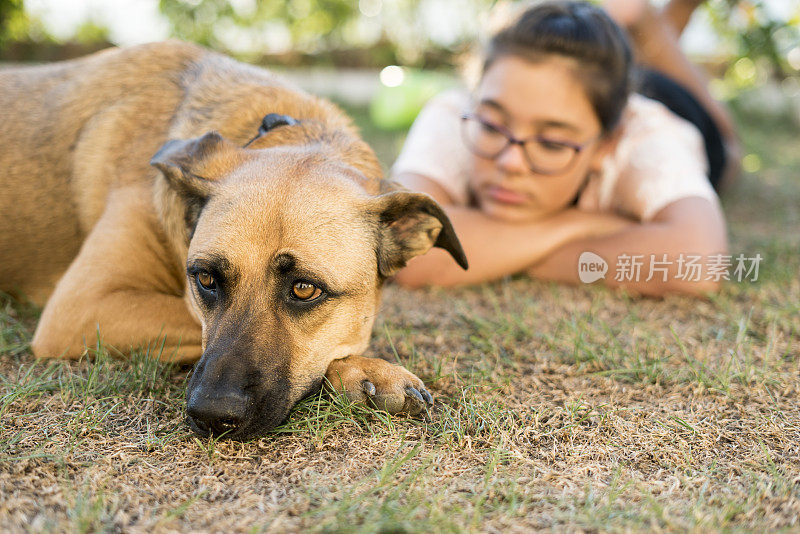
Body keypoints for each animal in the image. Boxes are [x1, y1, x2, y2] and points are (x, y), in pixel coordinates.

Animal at [0, 42, 468, 442]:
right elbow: (188, 315)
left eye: (305, 288)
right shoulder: (80, 307)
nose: (212, 415)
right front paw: (362, 369)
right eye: (205, 278)